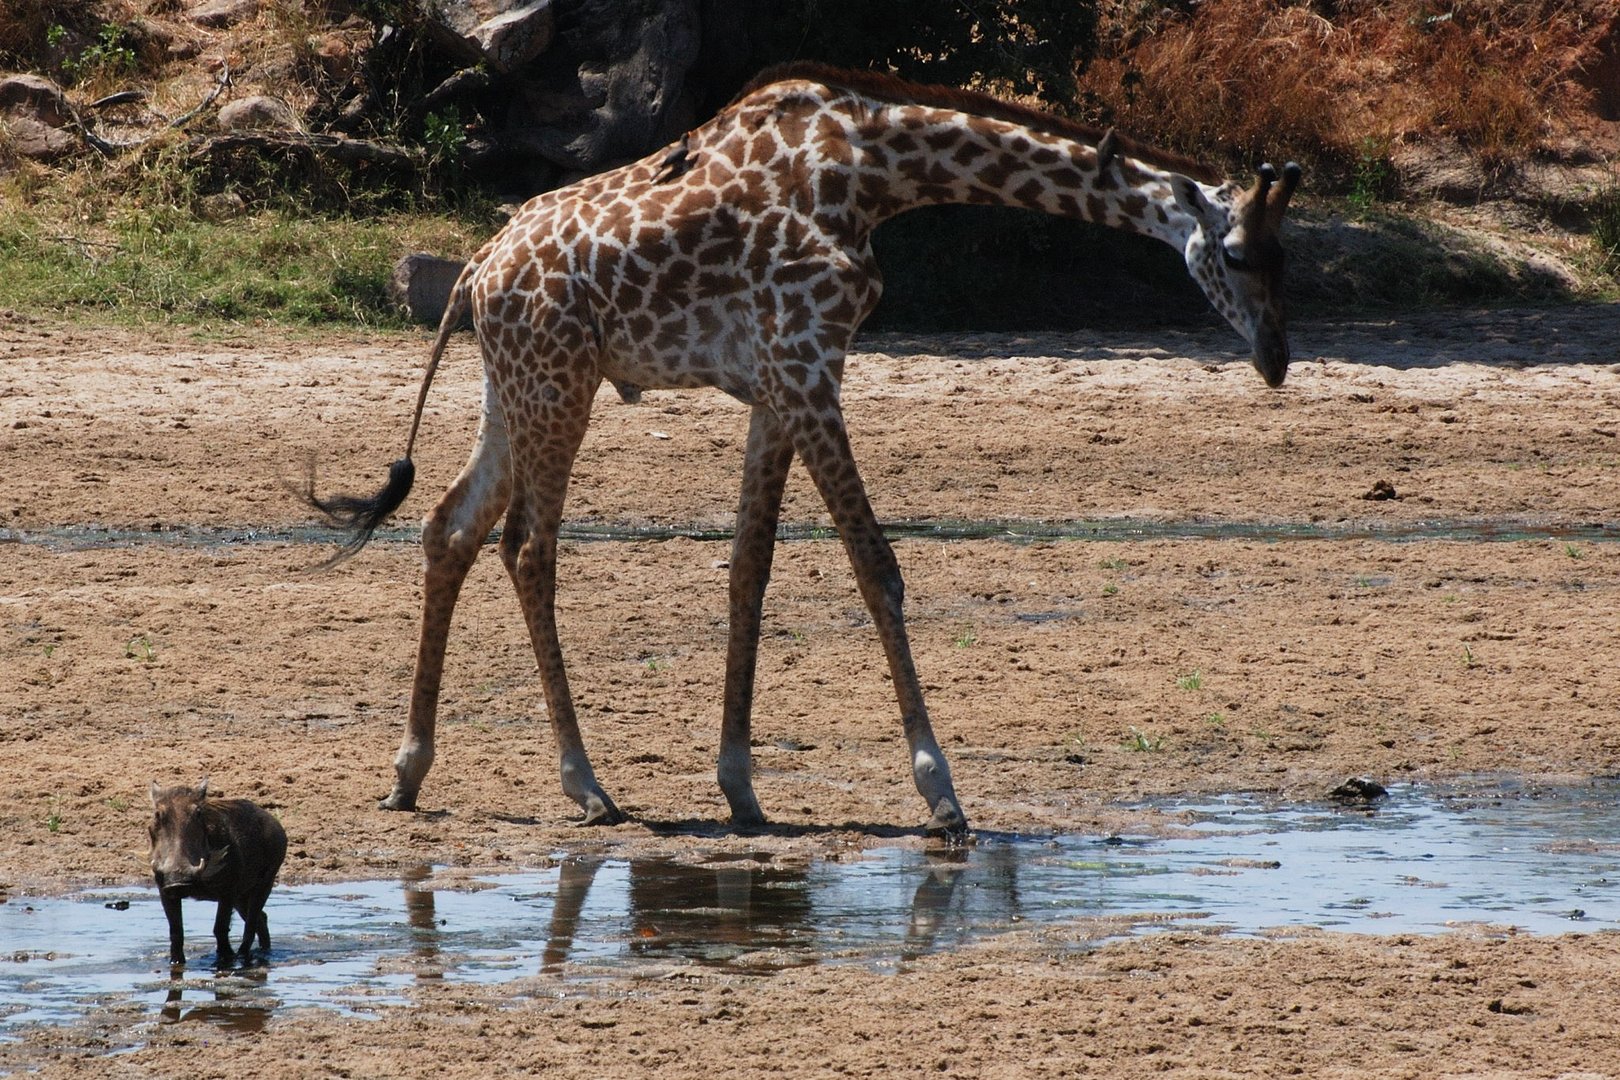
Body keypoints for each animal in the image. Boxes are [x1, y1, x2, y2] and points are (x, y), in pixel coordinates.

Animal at [306, 61, 1302, 835]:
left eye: (1281, 256)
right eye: (1239, 255)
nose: (1277, 359)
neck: (869, 175)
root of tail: (475, 272)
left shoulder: (777, 389)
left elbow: (751, 567)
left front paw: (741, 787)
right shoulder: (810, 365)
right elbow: (875, 567)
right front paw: (941, 794)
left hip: (513, 386)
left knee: (451, 528)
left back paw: (409, 772)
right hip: (559, 384)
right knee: (526, 546)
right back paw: (587, 786)